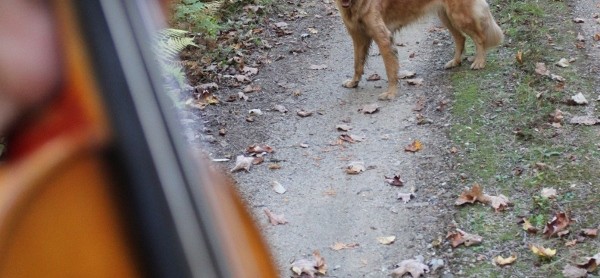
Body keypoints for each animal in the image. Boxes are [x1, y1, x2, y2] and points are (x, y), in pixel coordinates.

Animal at [338, 0, 502, 100]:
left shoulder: (383, 38)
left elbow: (390, 71)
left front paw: (391, 93)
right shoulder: (358, 37)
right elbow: (357, 64)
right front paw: (353, 82)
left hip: (459, 15)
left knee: (479, 37)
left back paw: (480, 61)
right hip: (445, 15)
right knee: (460, 38)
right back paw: (455, 62)